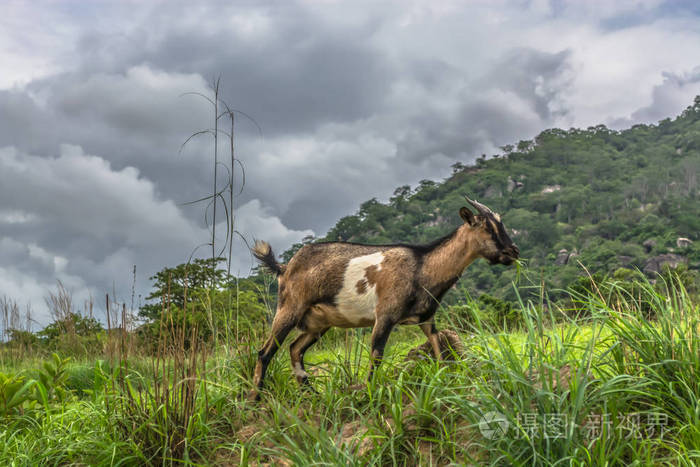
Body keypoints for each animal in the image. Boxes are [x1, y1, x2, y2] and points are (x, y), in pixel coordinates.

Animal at [249, 196, 516, 400]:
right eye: (488, 228)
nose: (513, 252)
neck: (422, 266)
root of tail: (285, 267)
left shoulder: (426, 319)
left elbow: (439, 349)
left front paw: (448, 382)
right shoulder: (385, 316)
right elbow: (376, 355)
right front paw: (370, 393)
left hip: (318, 323)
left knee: (295, 349)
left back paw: (310, 394)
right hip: (289, 309)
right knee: (265, 351)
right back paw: (256, 398)